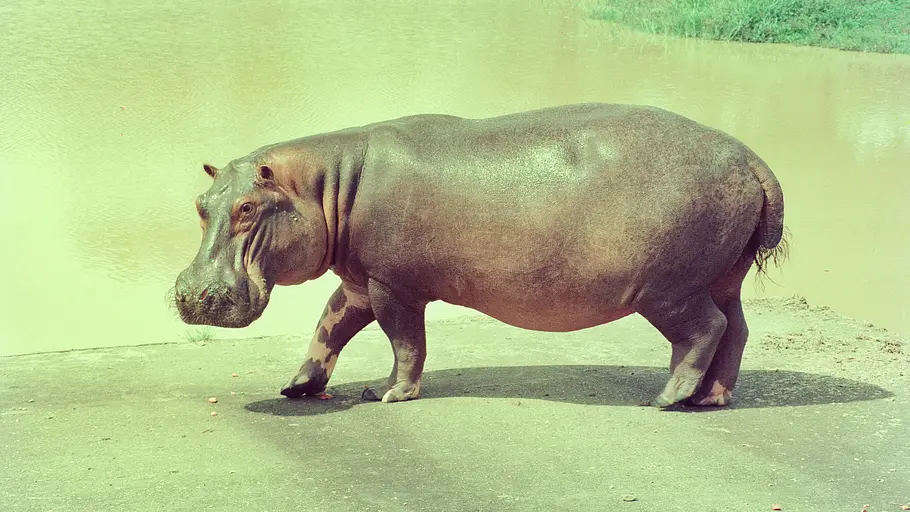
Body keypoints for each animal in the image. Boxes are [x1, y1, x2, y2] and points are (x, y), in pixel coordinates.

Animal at [173, 103, 786, 407]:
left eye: (248, 207)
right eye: (201, 204)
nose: (192, 294)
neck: (326, 184)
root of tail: (752, 157)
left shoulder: (393, 284)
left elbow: (405, 341)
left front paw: (391, 395)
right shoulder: (360, 280)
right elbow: (329, 327)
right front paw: (297, 388)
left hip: (668, 289)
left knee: (704, 330)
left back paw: (668, 399)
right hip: (721, 277)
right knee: (736, 328)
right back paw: (712, 399)